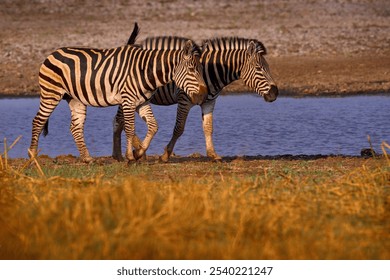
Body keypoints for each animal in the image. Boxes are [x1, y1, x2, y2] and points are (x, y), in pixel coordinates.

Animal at [29, 31, 209, 162]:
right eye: (192, 70)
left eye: (202, 69)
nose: (204, 94)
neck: (146, 71)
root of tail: (52, 53)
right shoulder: (128, 100)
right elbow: (129, 128)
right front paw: (130, 156)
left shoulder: (142, 102)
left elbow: (153, 126)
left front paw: (139, 153)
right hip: (51, 93)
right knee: (38, 121)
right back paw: (32, 156)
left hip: (75, 98)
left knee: (75, 127)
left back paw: (87, 159)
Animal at [111, 35, 278, 162]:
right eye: (259, 69)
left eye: (268, 67)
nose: (275, 93)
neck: (209, 71)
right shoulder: (184, 100)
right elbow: (179, 128)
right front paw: (165, 155)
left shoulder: (209, 102)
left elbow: (208, 128)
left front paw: (213, 154)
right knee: (119, 121)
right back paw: (134, 151)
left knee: (119, 122)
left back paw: (127, 152)